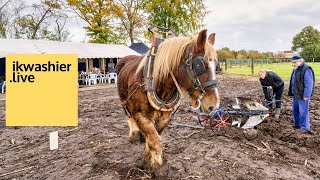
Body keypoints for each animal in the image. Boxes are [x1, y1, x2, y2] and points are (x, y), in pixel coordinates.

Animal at [117, 29, 220, 174]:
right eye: (199, 65)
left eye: (216, 66)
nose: (214, 105)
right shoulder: (140, 115)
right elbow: (155, 141)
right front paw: (154, 166)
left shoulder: (165, 118)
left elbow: (155, 137)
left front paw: (147, 159)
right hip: (124, 100)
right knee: (129, 115)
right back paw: (134, 135)